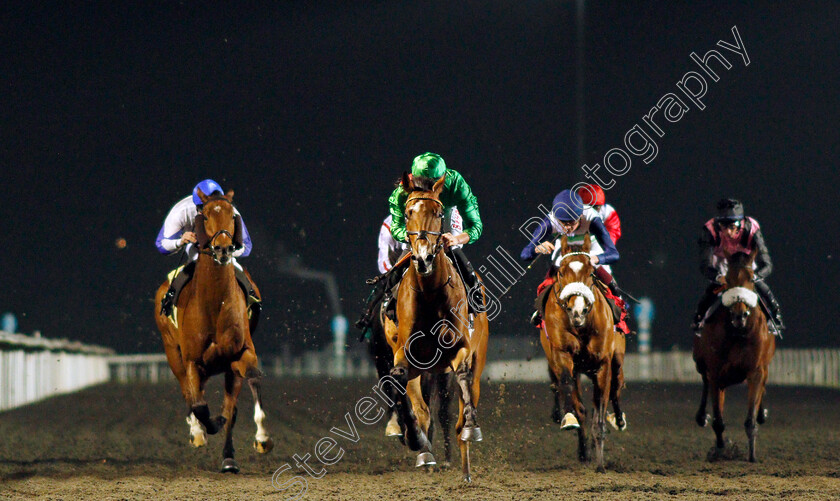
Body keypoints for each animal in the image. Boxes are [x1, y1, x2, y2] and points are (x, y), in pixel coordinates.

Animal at [156, 188, 274, 472]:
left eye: (232, 215)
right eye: (206, 215)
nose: (223, 248)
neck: (214, 305)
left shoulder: (241, 353)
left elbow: (251, 382)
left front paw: (261, 438)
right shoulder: (192, 361)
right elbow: (199, 405)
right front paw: (205, 427)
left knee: (229, 404)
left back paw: (228, 457)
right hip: (173, 354)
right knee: (189, 395)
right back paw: (198, 431)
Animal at [388, 172, 488, 480]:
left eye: (439, 213)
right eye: (408, 212)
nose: (423, 257)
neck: (430, 292)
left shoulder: (460, 349)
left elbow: (463, 381)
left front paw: (470, 429)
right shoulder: (406, 356)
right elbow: (400, 385)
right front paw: (416, 441)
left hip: (475, 358)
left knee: (462, 402)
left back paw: (465, 466)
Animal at [540, 234, 628, 472]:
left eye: (590, 273)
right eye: (561, 272)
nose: (577, 311)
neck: (582, 326)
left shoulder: (603, 364)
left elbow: (601, 408)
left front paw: (600, 464)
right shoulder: (562, 355)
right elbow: (569, 390)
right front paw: (569, 421)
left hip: (617, 360)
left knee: (616, 388)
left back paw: (618, 419)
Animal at [692, 248, 776, 462]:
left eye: (751, 279)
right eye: (728, 280)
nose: (740, 315)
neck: (738, 332)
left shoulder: (756, 370)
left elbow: (750, 419)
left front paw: (752, 455)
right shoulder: (716, 374)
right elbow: (718, 421)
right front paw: (721, 450)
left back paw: (762, 413)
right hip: (700, 363)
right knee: (704, 382)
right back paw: (701, 417)